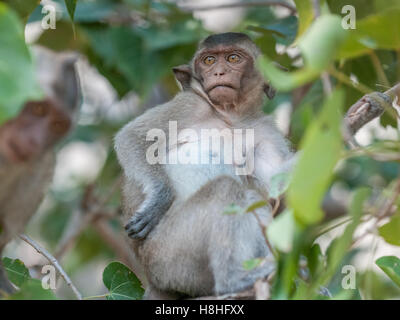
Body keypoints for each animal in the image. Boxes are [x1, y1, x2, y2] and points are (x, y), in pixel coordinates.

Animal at [114, 33, 296, 298]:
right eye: (209, 60)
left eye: (233, 58)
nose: (219, 72)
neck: (229, 117)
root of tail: (153, 279)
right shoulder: (188, 106)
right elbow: (132, 137)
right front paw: (159, 200)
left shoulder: (264, 130)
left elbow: (276, 180)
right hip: (169, 257)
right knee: (226, 188)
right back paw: (232, 281)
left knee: (252, 198)